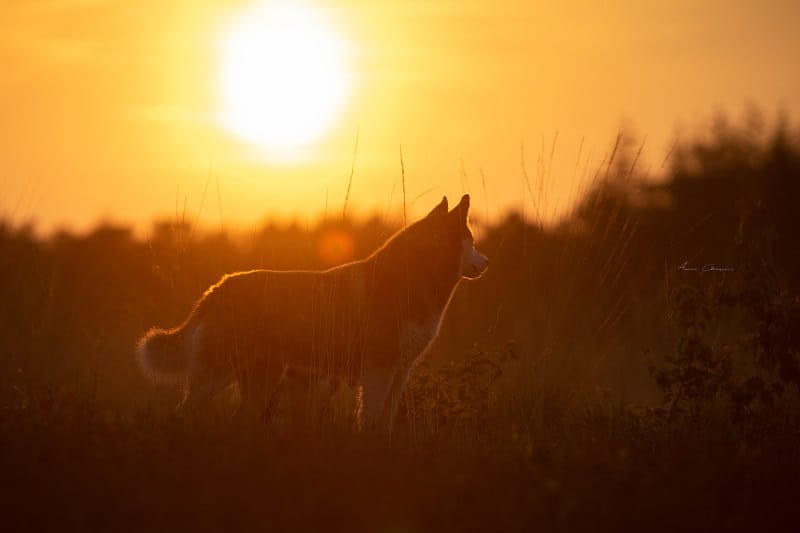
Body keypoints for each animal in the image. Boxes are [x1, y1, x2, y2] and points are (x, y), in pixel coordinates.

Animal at [138, 194, 488, 432]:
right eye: (470, 240)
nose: (487, 263)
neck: (408, 281)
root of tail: (217, 288)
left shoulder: (399, 371)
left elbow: (384, 423)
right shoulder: (378, 370)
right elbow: (370, 419)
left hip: (259, 382)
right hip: (220, 377)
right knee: (182, 413)